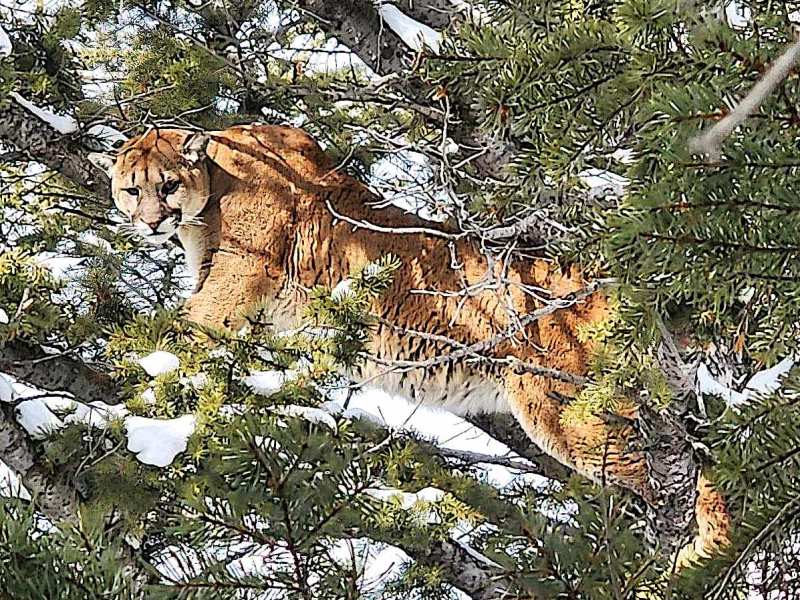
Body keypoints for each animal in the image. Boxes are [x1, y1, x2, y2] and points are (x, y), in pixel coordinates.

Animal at [89, 123, 730, 565]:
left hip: (567, 408)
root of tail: (620, 289)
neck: (216, 187)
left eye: (168, 185)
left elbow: (181, 326)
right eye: (131, 189)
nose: (150, 222)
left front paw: (134, 359)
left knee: (683, 478)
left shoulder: (237, 278)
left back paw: (695, 558)